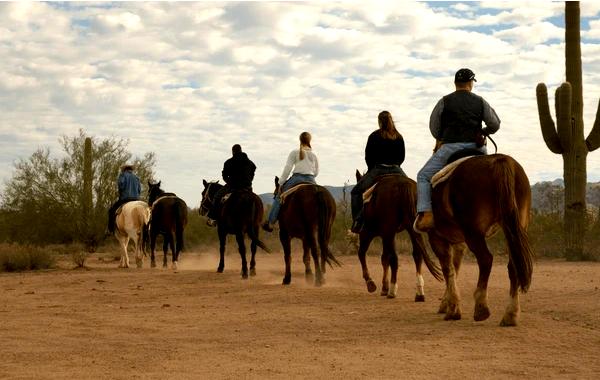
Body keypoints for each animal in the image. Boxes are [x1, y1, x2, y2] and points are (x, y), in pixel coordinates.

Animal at [354, 171, 442, 300]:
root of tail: (403, 184)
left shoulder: (368, 233)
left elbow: (363, 254)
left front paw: (371, 283)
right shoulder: (386, 235)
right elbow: (384, 258)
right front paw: (384, 288)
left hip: (387, 231)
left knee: (394, 258)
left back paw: (392, 290)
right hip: (410, 228)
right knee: (417, 255)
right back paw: (419, 292)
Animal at [422, 153, 536, 326]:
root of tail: (499, 160)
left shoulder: (437, 238)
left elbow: (448, 269)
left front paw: (452, 308)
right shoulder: (459, 243)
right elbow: (455, 268)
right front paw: (448, 304)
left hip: (473, 233)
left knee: (485, 259)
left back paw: (481, 308)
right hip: (513, 227)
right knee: (513, 266)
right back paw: (510, 314)